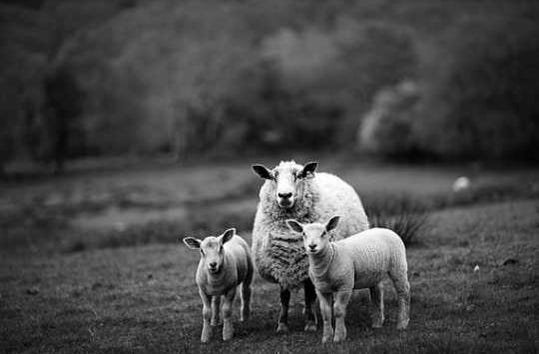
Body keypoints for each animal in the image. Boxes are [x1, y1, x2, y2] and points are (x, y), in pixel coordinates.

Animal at [251, 162, 370, 334]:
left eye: (299, 175)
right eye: (273, 177)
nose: (284, 195)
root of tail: (329, 174)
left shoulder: (310, 266)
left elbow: (309, 295)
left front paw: (311, 323)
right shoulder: (280, 265)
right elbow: (284, 298)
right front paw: (282, 324)